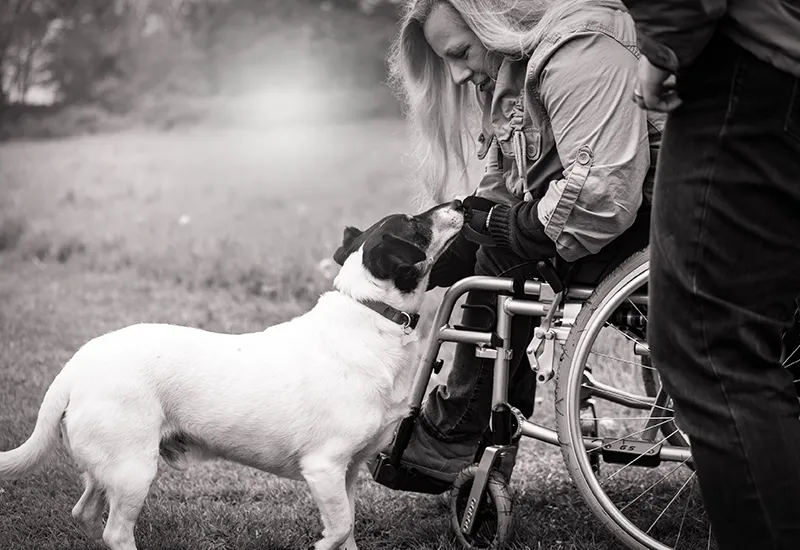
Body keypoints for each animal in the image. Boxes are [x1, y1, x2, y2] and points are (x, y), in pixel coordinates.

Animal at [0, 202, 466, 550]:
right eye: (414, 223)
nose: (462, 203)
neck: (372, 314)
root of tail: (76, 365)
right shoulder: (324, 467)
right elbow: (336, 531)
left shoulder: (349, 472)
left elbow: (349, 527)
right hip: (133, 469)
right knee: (115, 532)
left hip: (110, 469)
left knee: (86, 513)